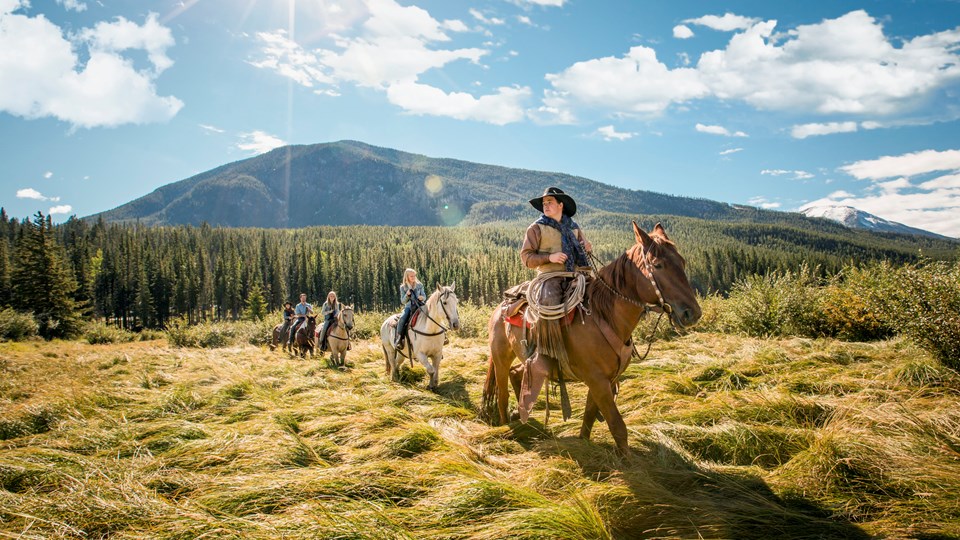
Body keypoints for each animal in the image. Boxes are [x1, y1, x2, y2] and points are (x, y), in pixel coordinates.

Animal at [484, 223, 700, 456]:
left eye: (682, 262)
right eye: (657, 265)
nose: (693, 313)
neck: (603, 316)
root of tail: (500, 306)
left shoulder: (604, 380)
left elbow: (589, 416)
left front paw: (584, 444)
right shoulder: (598, 381)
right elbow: (617, 426)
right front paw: (629, 461)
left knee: (519, 374)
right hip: (501, 358)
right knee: (502, 395)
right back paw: (507, 427)